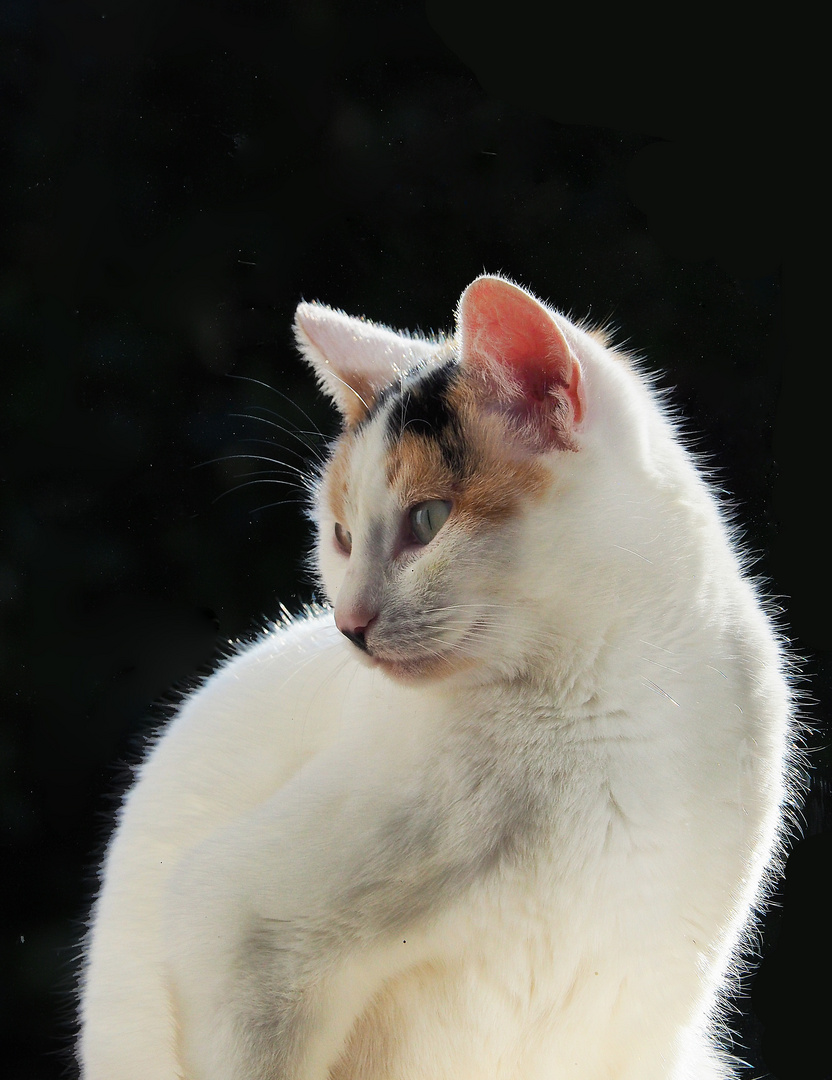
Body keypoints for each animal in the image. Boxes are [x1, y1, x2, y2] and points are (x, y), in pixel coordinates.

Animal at [76, 274, 790, 1075]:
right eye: (341, 536)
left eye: (428, 521)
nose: (348, 624)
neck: (611, 701)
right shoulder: (235, 924)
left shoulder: (646, 1015)